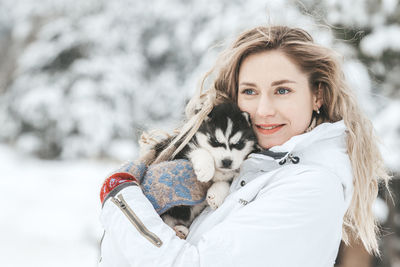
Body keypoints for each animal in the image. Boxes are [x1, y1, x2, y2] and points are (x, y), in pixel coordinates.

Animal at [141, 102, 256, 239]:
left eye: (238, 143)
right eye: (215, 141)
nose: (227, 161)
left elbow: (227, 181)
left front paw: (216, 195)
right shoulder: (179, 149)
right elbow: (199, 150)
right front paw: (206, 170)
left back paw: (181, 230)